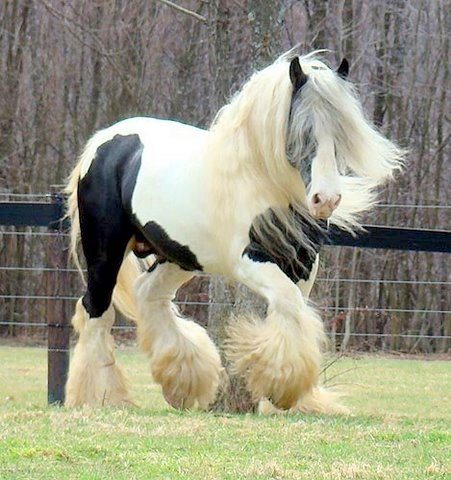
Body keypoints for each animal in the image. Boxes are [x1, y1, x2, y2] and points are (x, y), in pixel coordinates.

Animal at [64, 51, 406, 412]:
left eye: (342, 134)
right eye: (302, 131)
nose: (325, 200)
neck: (259, 181)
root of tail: (104, 143)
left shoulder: (302, 265)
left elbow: (295, 312)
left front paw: (297, 396)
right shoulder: (248, 260)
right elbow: (288, 304)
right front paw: (282, 386)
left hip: (180, 256)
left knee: (148, 294)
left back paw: (183, 382)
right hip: (105, 252)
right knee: (96, 310)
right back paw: (98, 398)